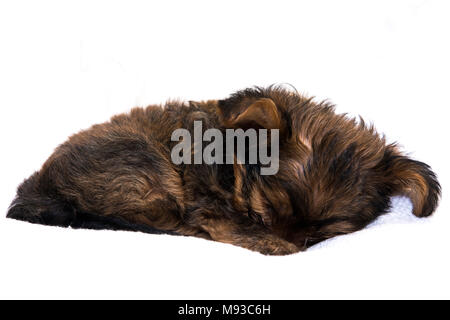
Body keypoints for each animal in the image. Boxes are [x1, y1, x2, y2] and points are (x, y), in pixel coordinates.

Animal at [7, 85, 442, 255]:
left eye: (326, 229)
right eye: (268, 208)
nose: (296, 242)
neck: (229, 164)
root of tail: (34, 188)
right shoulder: (211, 209)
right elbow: (240, 228)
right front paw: (277, 245)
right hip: (144, 168)